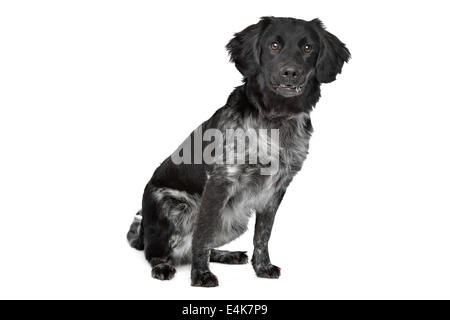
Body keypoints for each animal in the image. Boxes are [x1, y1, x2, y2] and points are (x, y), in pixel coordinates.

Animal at [127, 16, 352, 288]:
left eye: (308, 48)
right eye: (274, 45)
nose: (290, 72)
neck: (276, 119)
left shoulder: (276, 189)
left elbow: (262, 235)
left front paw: (262, 267)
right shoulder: (220, 181)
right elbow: (202, 236)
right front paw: (200, 275)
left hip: (234, 220)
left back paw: (228, 255)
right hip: (173, 207)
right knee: (155, 251)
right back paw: (162, 265)